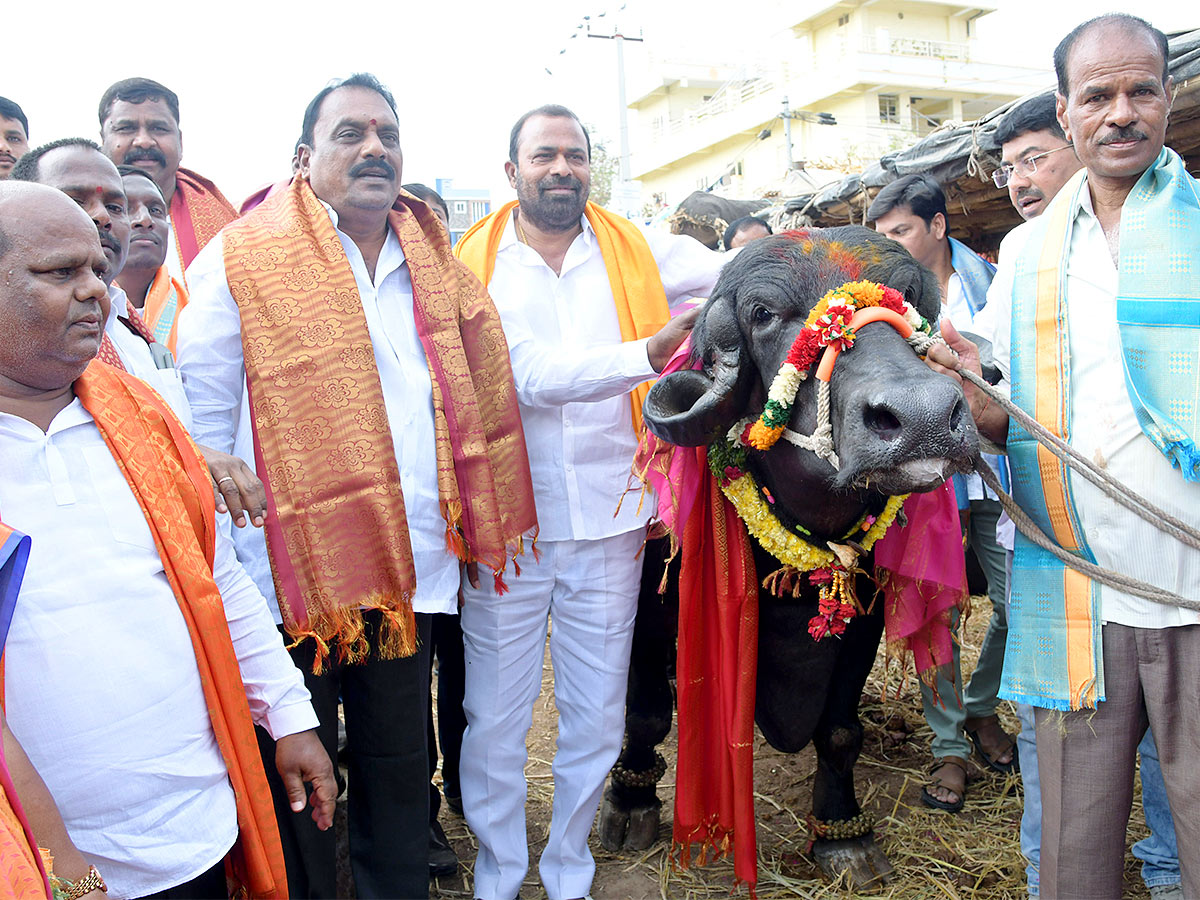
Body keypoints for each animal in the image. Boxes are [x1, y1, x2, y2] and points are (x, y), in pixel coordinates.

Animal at [600, 229, 984, 892]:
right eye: (762, 314)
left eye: (909, 298)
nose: (925, 417)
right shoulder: (651, 597)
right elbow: (644, 712)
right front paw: (630, 802)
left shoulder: (863, 612)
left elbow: (840, 731)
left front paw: (844, 836)